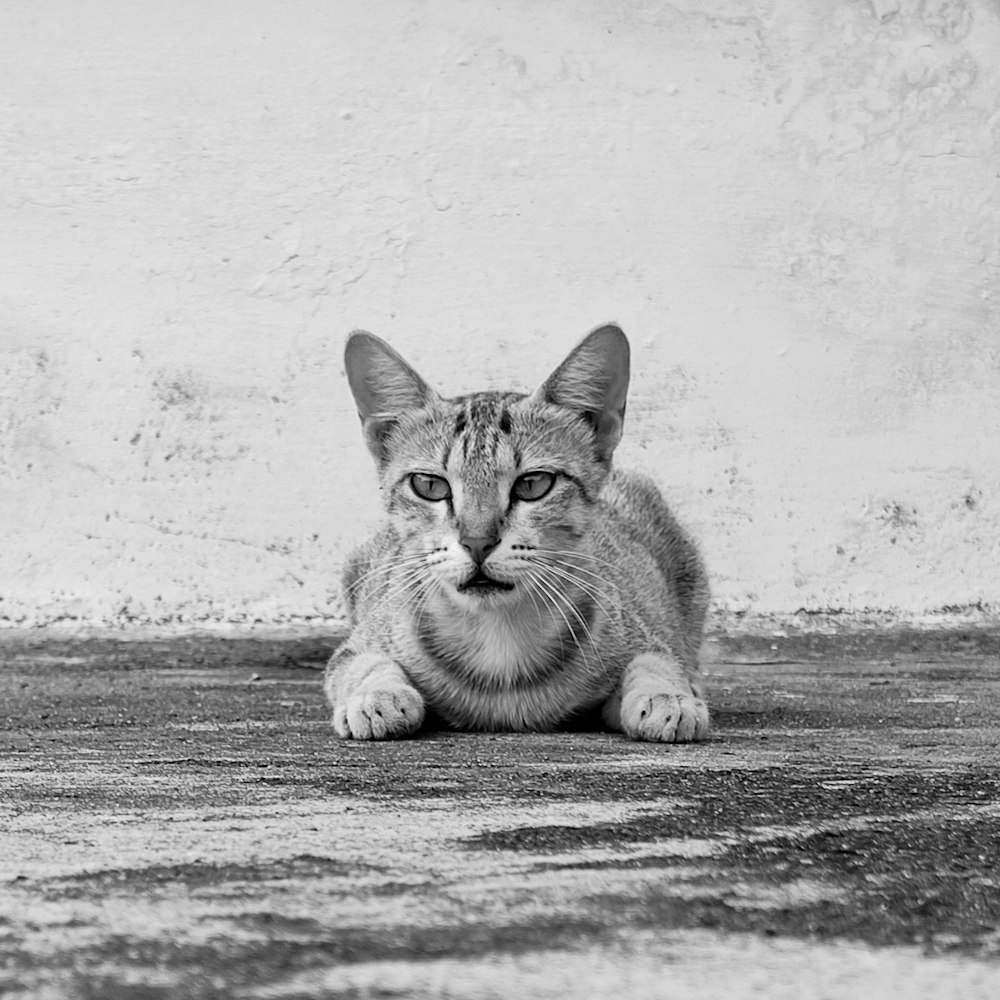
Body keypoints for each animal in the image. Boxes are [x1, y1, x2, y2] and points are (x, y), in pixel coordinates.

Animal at [322, 324, 712, 740]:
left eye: (533, 484)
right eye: (428, 485)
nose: (477, 542)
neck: (499, 633)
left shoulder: (642, 634)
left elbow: (655, 660)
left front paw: (666, 696)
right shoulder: (360, 642)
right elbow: (362, 662)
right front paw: (375, 694)